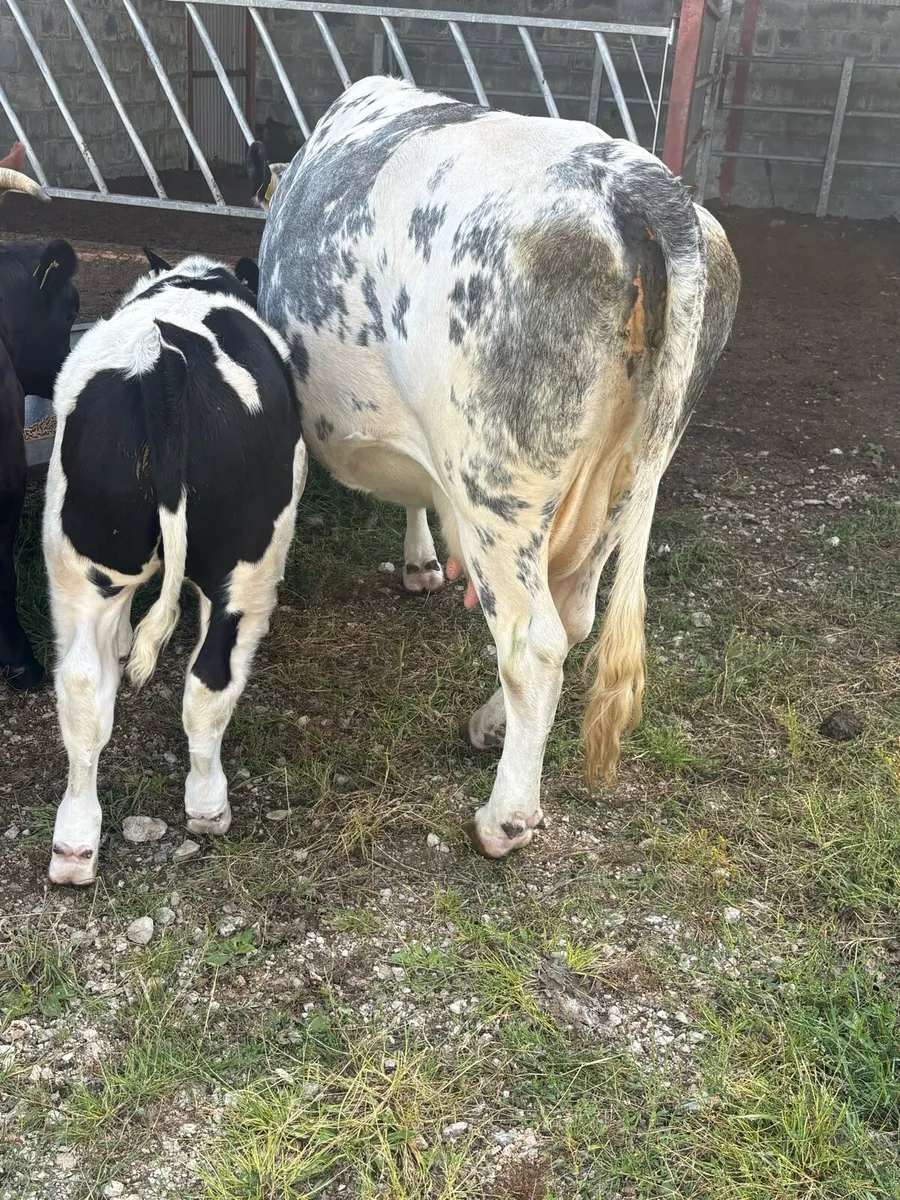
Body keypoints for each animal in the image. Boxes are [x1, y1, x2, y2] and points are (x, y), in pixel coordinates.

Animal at [42, 254, 306, 884]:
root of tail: (163, 369)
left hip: (79, 564)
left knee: (81, 686)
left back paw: (74, 844)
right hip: (248, 566)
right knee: (210, 680)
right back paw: (208, 806)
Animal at [253, 78, 740, 859]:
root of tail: (632, 178)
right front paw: (422, 562)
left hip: (496, 485)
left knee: (533, 643)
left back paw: (505, 817)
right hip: (627, 475)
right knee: (573, 619)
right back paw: (491, 725)